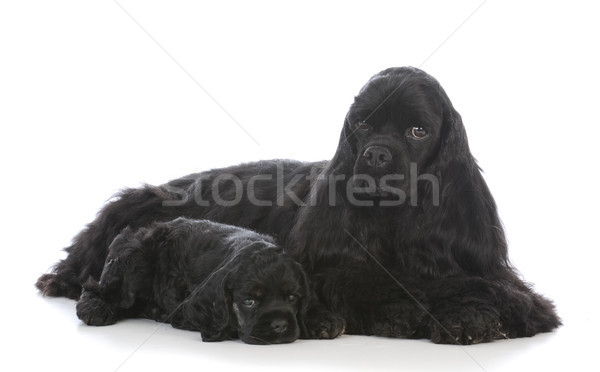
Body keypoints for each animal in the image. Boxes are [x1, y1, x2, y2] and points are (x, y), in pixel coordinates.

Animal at [75, 217, 342, 344]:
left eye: (292, 297)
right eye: (249, 301)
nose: (279, 326)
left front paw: (321, 320)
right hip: (133, 258)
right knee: (98, 288)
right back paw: (96, 308)